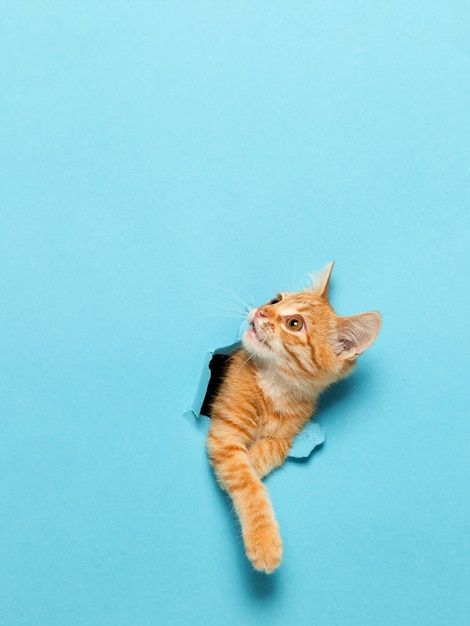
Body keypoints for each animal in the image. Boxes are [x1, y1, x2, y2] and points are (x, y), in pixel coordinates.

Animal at [207, 260, 382, 572]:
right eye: (275, 300)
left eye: (295, 324)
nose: (261, 311)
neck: (274, 385)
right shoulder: (226, 429)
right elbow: (246, 480)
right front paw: (264, 541)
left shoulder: (285, 436)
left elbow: (261, 458)